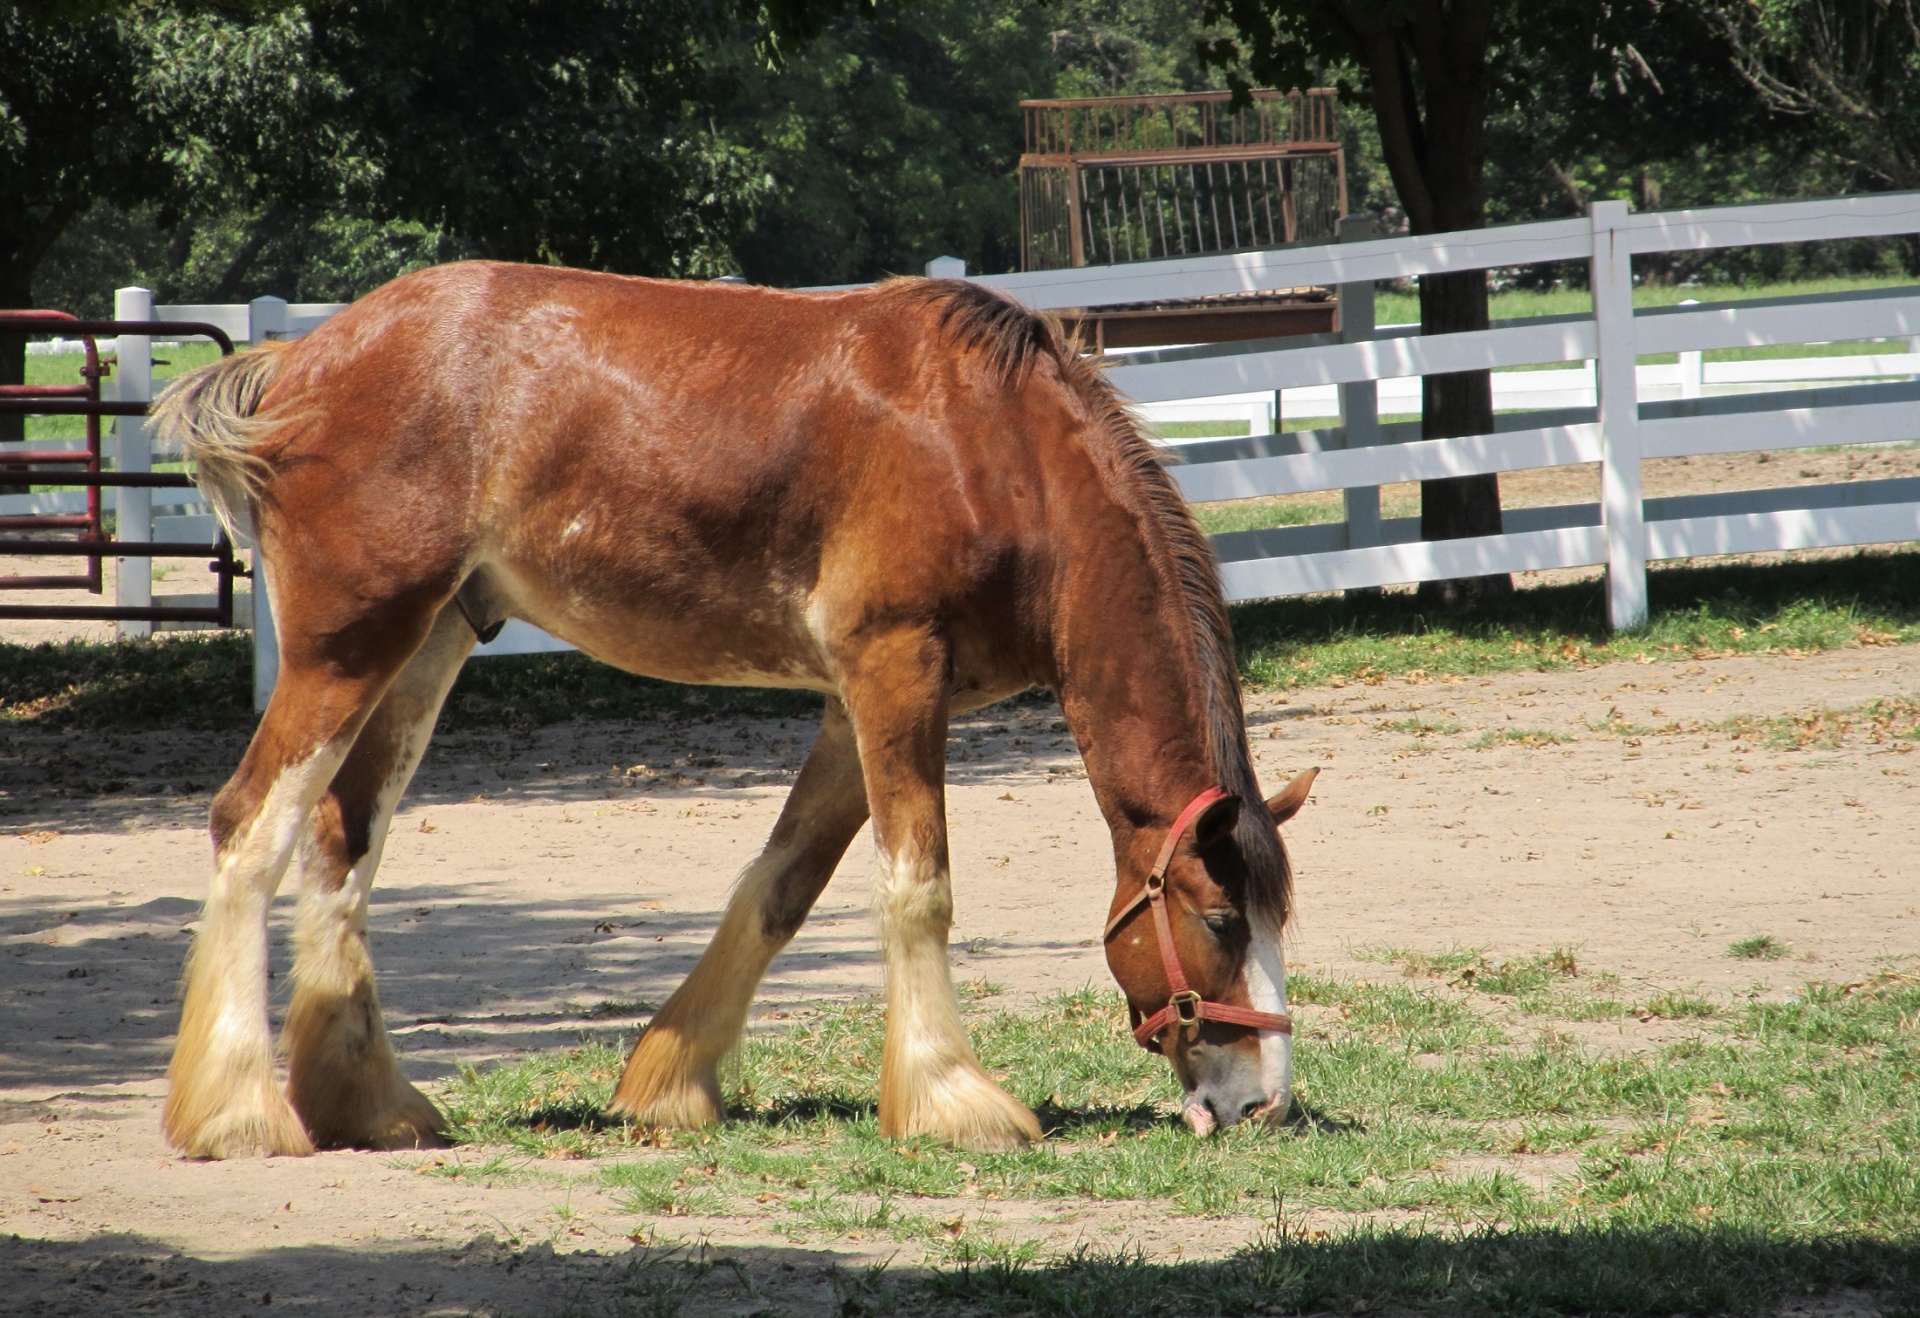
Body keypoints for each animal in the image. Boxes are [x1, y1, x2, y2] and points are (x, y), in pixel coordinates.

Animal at [153, 263, 1320, 1160]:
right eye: (1222, 920)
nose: (1265, 1101)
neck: (997, 448)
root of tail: (302, 360)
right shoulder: (895, 672)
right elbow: (918, 889)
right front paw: (952, 1099)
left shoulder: (855, 705)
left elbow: (782, 887)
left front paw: (670, 1082)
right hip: (346, 648)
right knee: (250, 827)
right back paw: (238, 1113)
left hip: (426, 645)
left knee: (343, 846)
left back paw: (367, 1105)